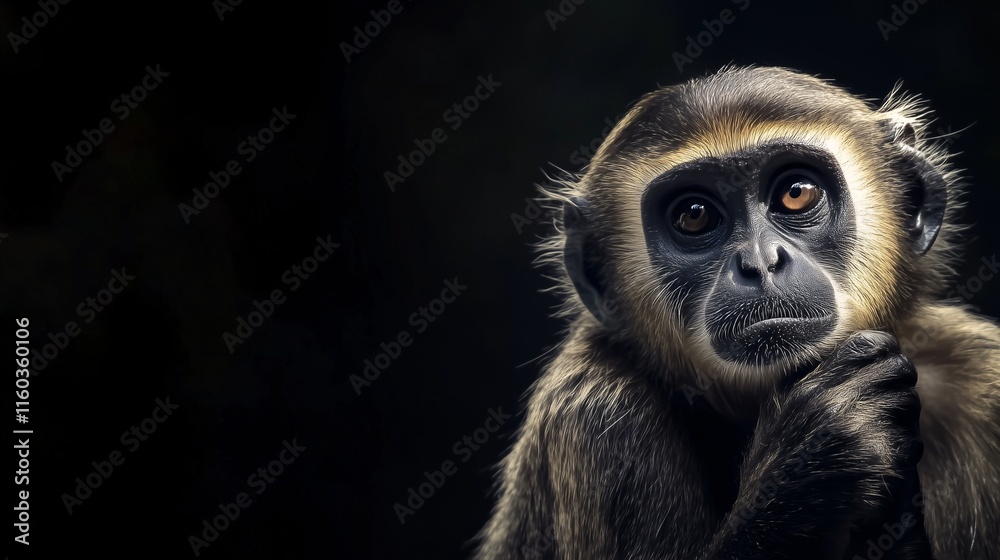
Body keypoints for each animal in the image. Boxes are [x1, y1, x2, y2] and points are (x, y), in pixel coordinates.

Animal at [475, 66, 1000, 559]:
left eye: (797, 193)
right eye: (694, 216)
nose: (760, 261)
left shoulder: (981, 375)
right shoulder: (596, 413)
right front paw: (817, 451)